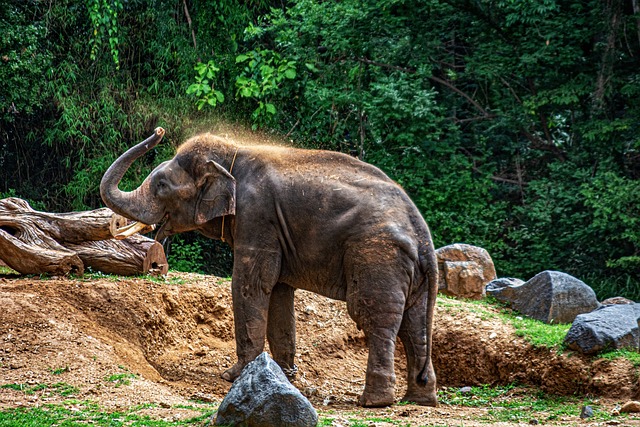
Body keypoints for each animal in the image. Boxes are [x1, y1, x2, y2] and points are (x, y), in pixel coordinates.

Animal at [101, 127, 440, 408]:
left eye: (161, 185)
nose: (159, 131)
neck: (232, 155)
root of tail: (423, 234)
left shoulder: (257, 216)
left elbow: (251, 284)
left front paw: (234, 376)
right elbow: (278, 292)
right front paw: (284, 376)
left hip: (377, 255)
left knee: (374, 318)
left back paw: (374, 402)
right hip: (408, 270)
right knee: (414, 324)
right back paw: (419, 400)